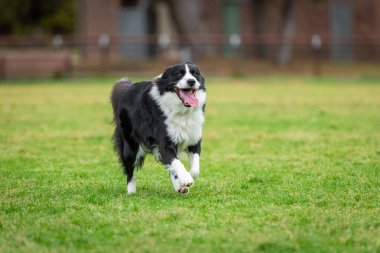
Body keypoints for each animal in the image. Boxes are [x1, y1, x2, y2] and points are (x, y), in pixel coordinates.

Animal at [110, 62, 205, 194]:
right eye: (179, 74)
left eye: (195, 73)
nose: (191, 81)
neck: (182, 111)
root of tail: (127, 88)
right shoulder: (164, 144)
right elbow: (176, 162)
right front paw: (186, 178)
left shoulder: (194, 140)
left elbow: (194, 169)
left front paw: (186, 177)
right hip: (130, 145)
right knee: (129, 169)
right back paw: (131, 191)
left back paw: (179, 187)